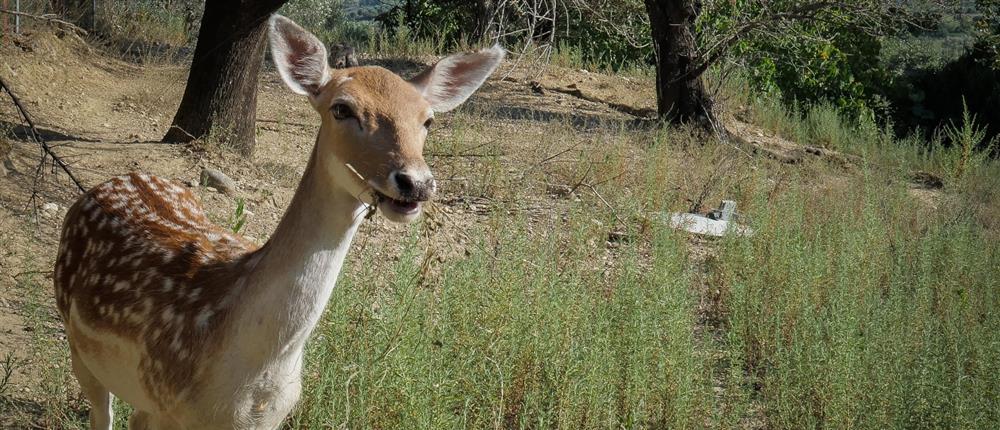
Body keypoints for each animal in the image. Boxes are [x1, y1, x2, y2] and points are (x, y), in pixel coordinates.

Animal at [53, 15, 504, 428]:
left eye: (428, 120)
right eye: (342, 108)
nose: (415, 183)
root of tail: (113, 180)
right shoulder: (169, 401)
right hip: (79, 345)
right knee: (102, 413)